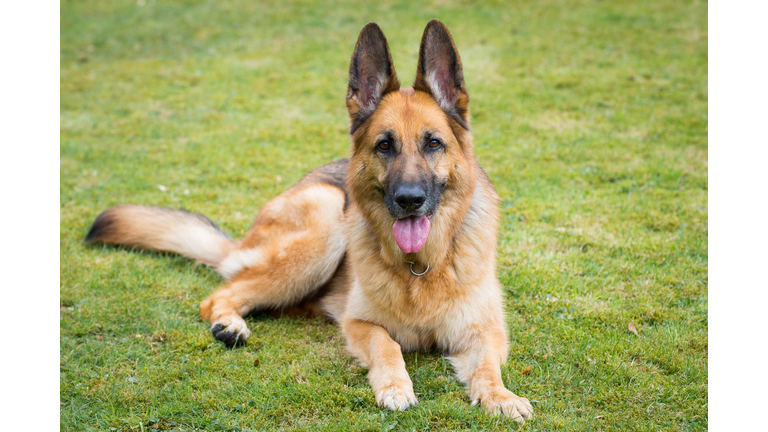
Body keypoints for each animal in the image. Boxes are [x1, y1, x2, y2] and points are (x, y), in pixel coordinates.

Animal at [85, 20, 536, 422]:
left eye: (434, 143)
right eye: (384, 145)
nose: (409, 200)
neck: (419, 267)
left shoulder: (485, 332)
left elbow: (487, 367)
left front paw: (500, 396)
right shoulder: (359, 323)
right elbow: (387, 344)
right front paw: (395, 386)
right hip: (325, 220)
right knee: (218, 295)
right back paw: (229, 324)